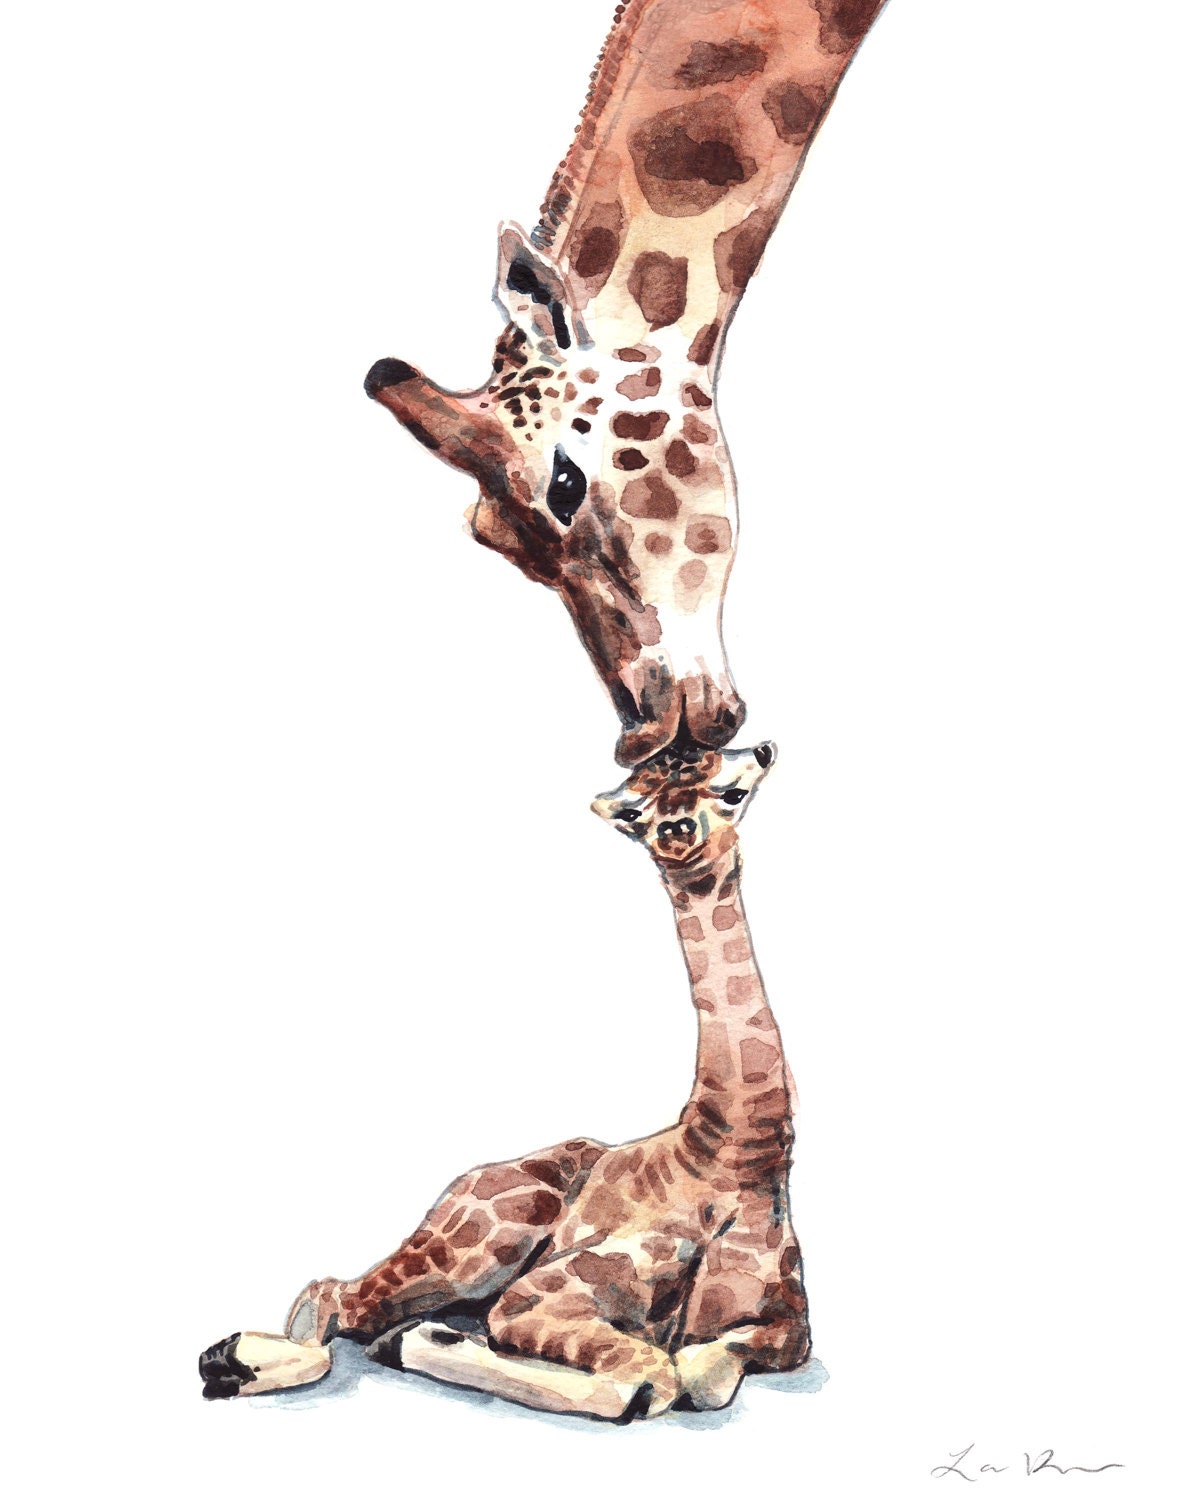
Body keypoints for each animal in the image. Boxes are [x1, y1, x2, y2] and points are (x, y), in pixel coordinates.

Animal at [200, 740, 807, 1418]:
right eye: (638, 812)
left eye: (731, 788)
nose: (677, 832)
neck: (739, 1152)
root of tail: (465, 1181)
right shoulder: (538, 1296)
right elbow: (652, 1381)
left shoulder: (790, 1327)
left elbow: (706, 1368)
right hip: (480, 1251)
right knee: (329, 1300)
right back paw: (234, 1360)